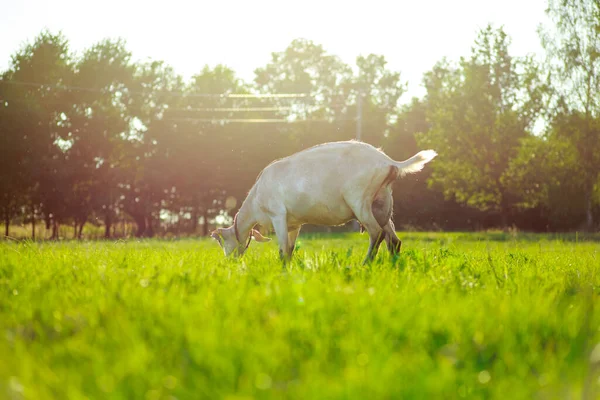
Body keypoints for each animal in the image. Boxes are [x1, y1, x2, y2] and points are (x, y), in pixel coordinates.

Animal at [211, 139, 436, 264]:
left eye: (222, 241)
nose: (229, 263)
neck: (257, 198)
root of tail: (388, 162)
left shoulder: (278, 215)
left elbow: (282, 250)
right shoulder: (294, 224)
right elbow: (290, 250)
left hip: (359, 199)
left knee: (376, 233)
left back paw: (366, 264)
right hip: (382, 204)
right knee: (394, 240)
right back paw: (392, 266)